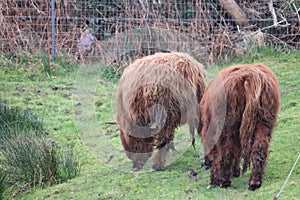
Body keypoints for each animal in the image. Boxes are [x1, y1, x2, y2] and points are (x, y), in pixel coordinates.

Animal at [198, 63, 280, 191]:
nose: (206, 164)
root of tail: (250, 76)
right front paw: (235, 171)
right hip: (264, 121)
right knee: (259, 148)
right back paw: (254, 182)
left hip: (227, 124)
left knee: (227, 150)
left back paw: (223, 181)